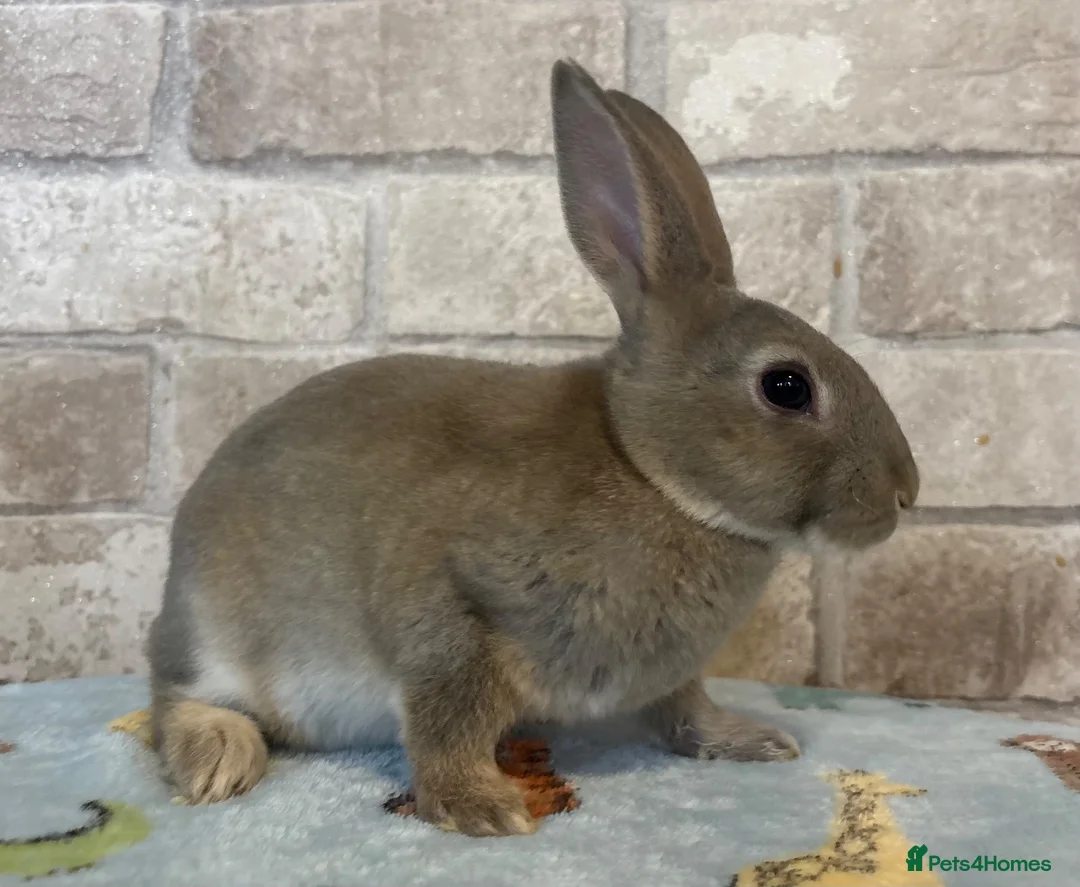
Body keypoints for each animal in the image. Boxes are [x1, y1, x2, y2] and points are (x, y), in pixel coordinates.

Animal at [146, 58, 919, 838]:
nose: (905, 493)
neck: (646, 467)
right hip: (218, 636)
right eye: (787, 386)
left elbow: (685, 709)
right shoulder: (451, 611)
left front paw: (750, 740)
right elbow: (444, 722)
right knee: (170, 697)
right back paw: (221, 758)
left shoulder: (667, 674)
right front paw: (481, 807)